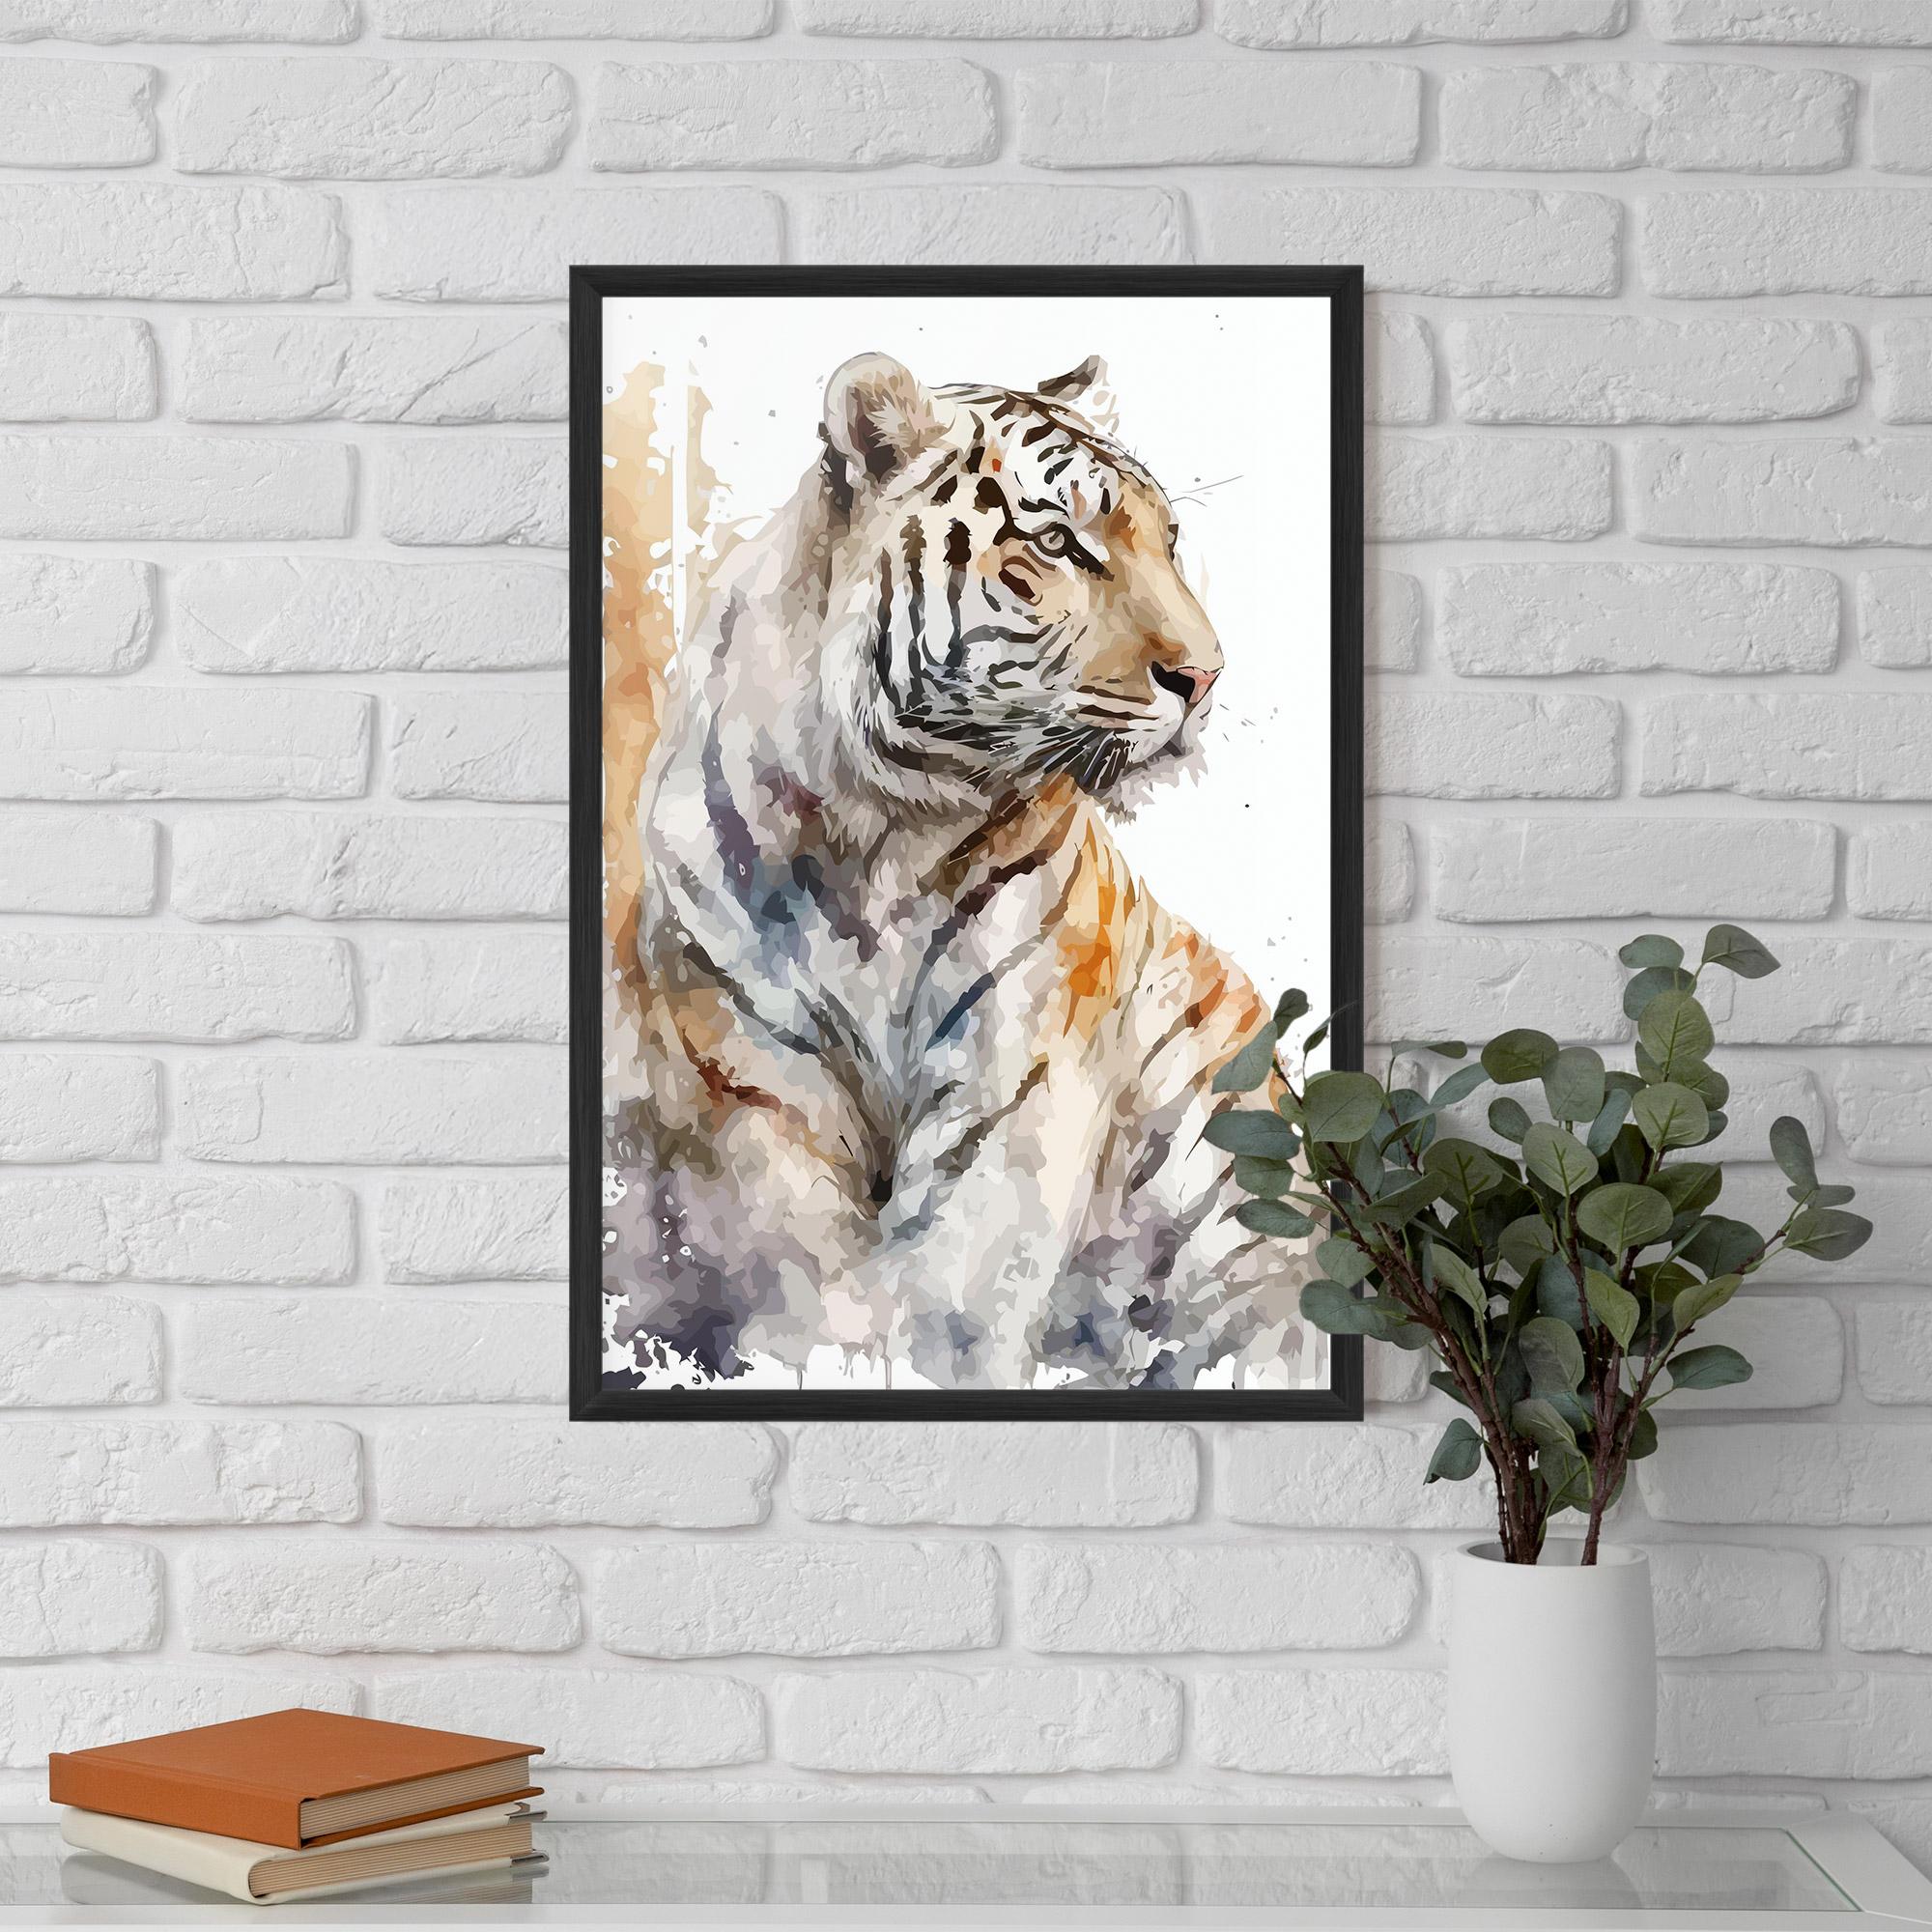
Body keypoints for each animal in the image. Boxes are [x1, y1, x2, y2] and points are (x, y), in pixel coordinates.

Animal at [601, 350, 1316, 1392]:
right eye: (1058, 542)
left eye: (1171, 540)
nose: (1207, 676)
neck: (875, 831)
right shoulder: (750, 1081)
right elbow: (795, 1284)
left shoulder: (1015, 1079)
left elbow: (954, 1309)